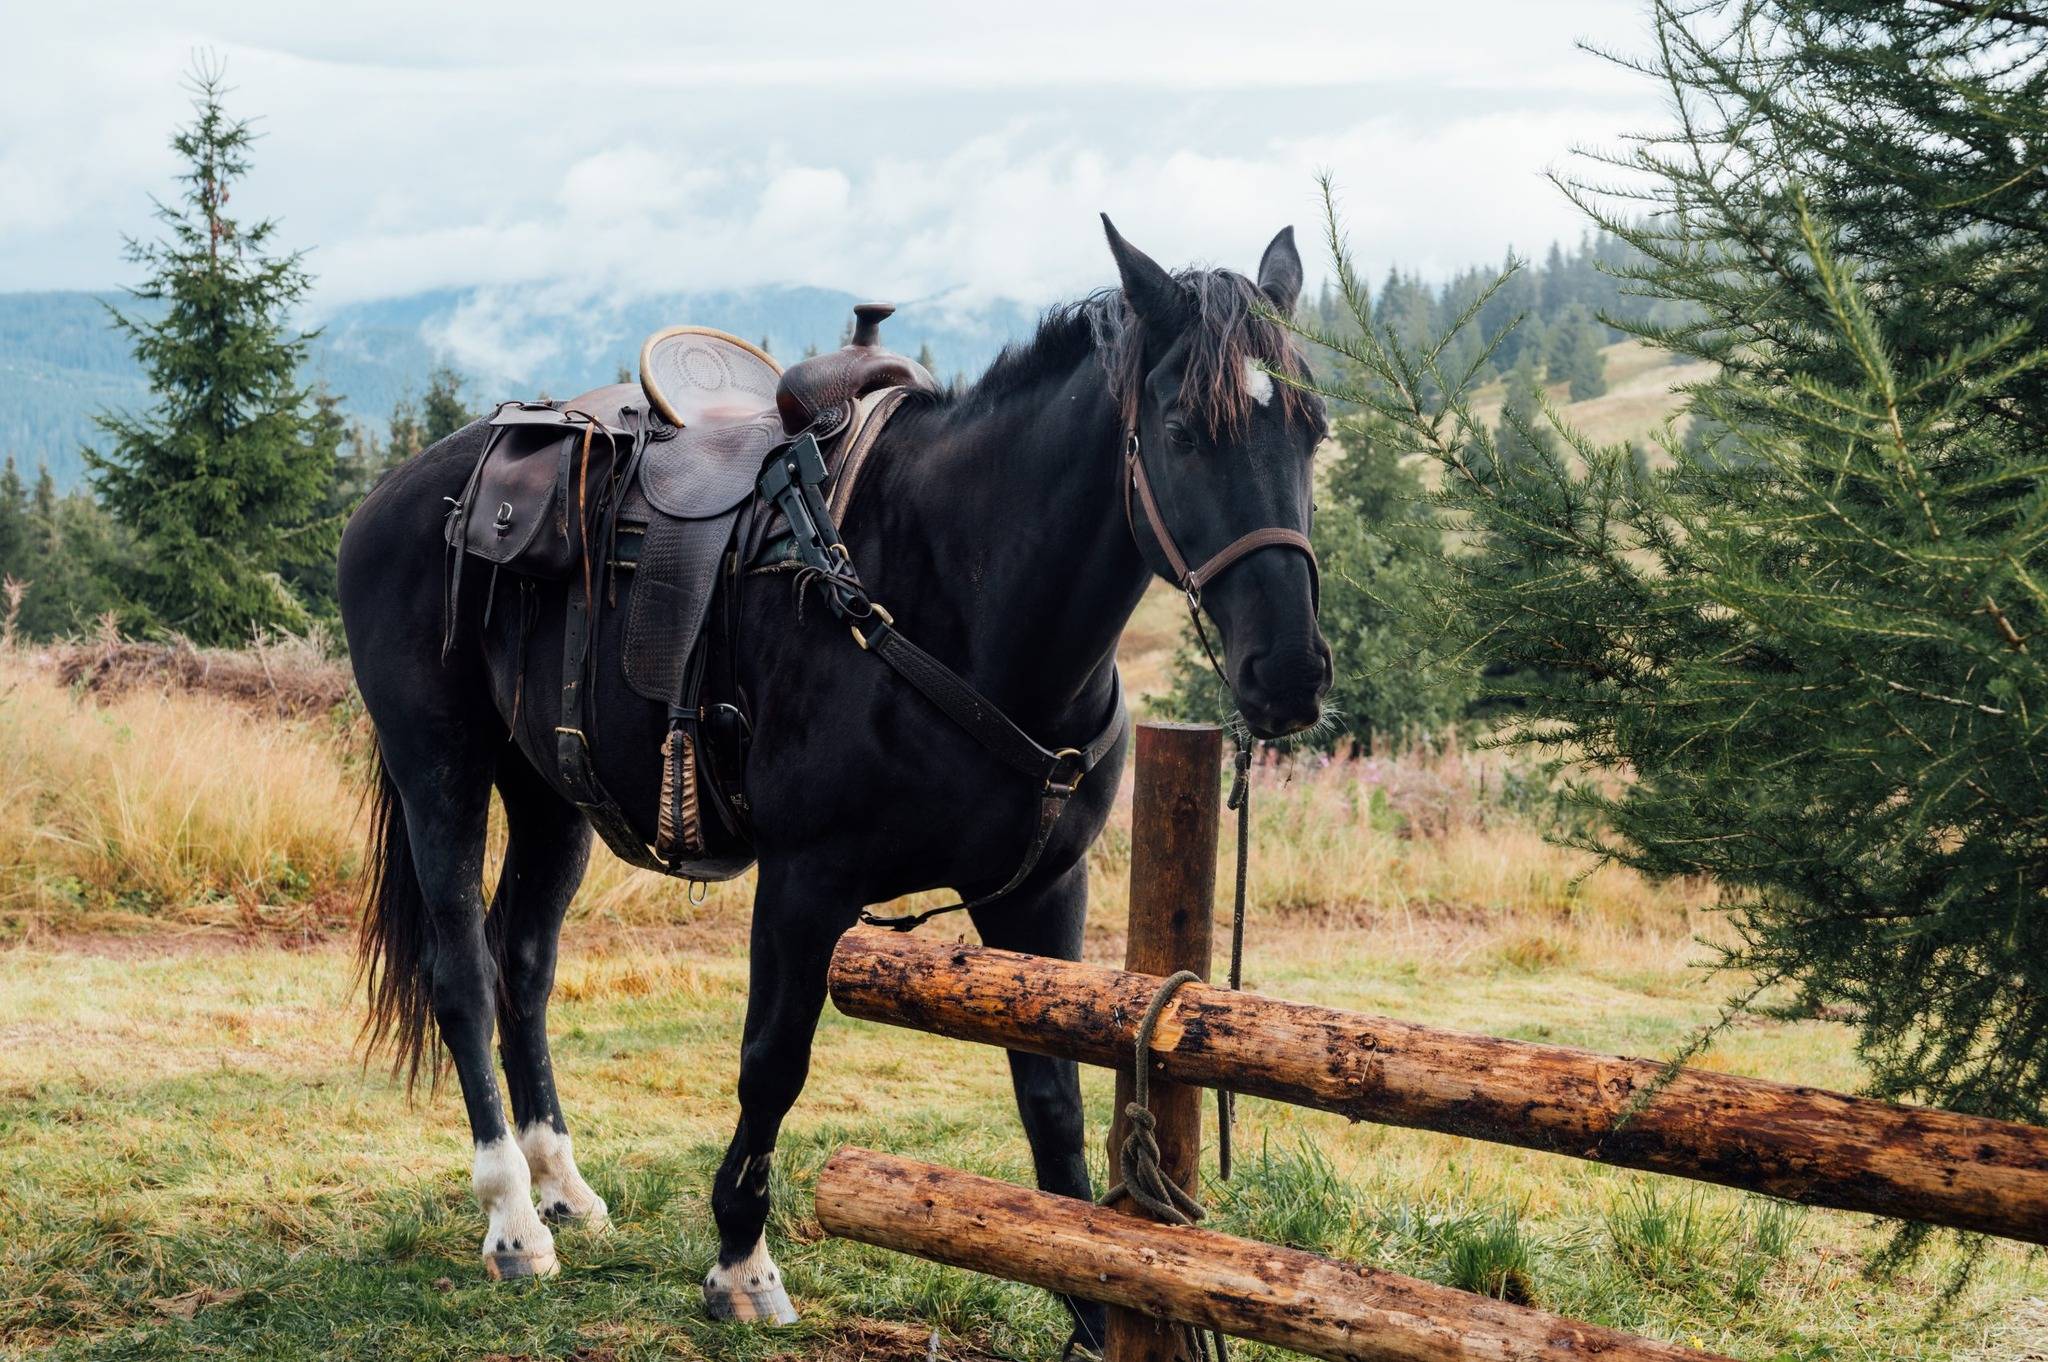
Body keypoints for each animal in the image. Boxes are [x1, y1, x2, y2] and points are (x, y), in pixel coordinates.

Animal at [335, 218, 1327, 1335]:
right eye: (1183, 429)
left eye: (1313, 429)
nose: (1290, 672)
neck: (952, 593)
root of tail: (404, 492)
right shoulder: (806, 881)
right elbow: (772, 1063)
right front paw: (740, 1263)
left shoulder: (1041, 890)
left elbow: (1052, 1099)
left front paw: (1088, 1310)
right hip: (441, 766)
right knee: (463, 971)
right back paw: (512, 1218)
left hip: (554, 795)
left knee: (526, 963)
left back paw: (561, 1184)